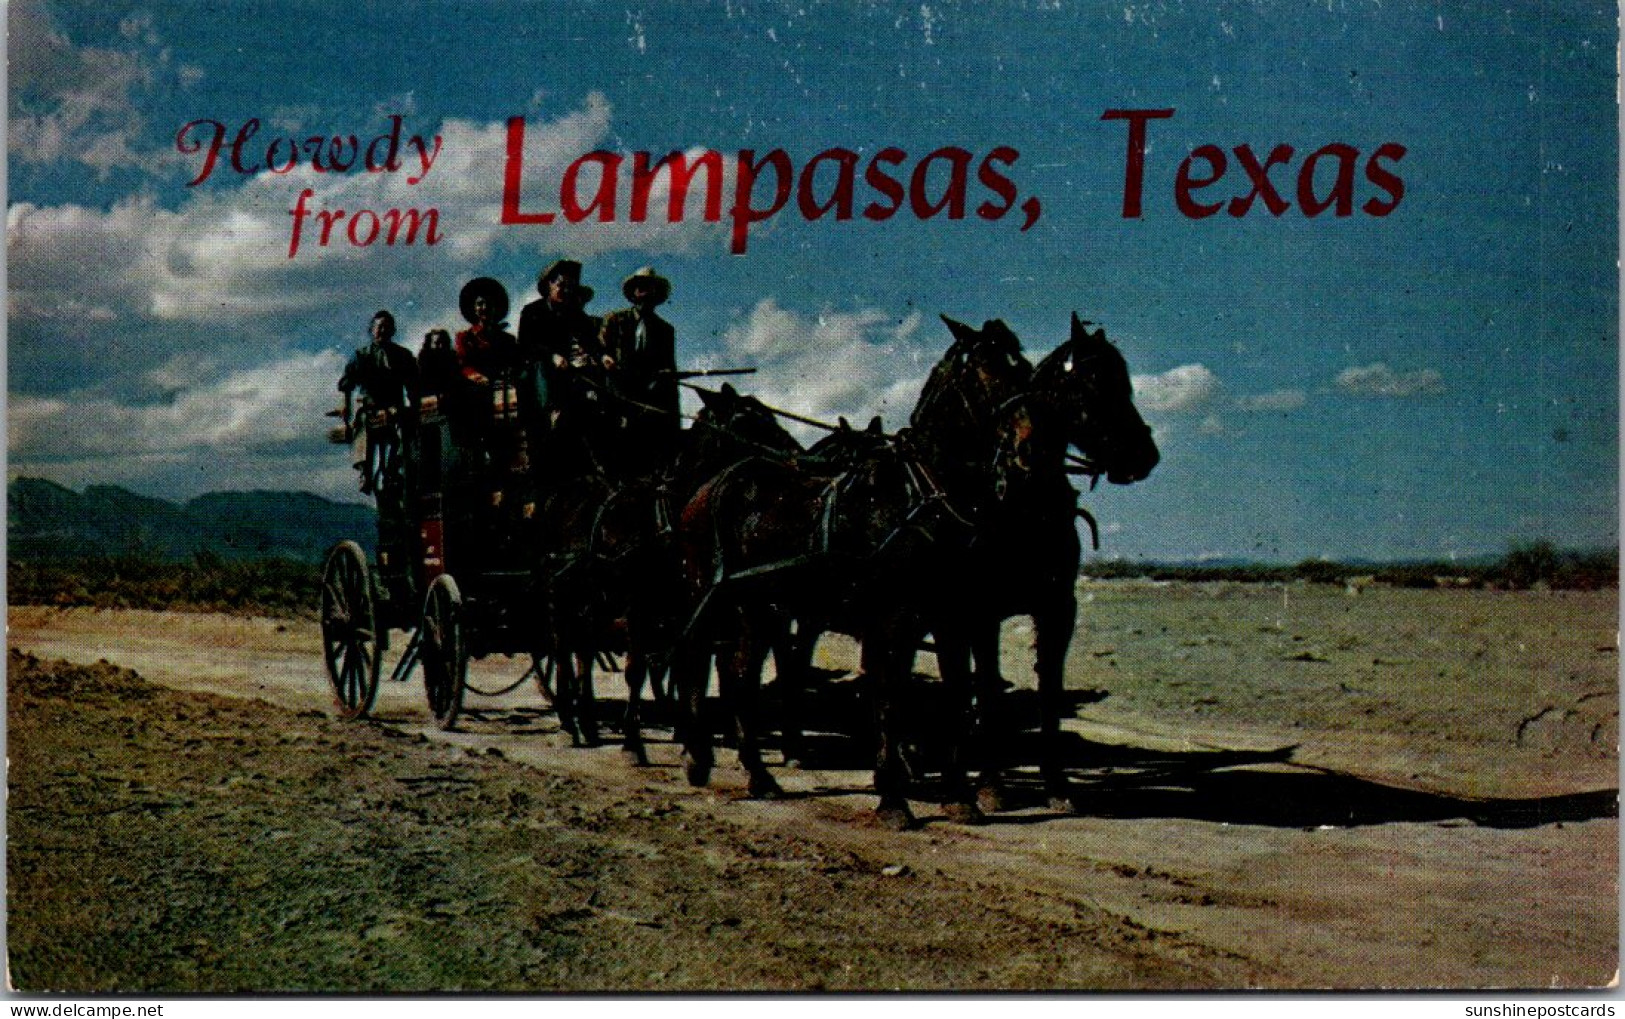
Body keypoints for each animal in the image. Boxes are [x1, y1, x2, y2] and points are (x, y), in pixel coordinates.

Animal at [903, 315, 1157, 825]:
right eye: (1091, 383)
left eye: (1125, 381)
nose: (1144, 456)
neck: (1022, 506)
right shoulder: (976, 612)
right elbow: (982, 691)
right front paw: (986, 787)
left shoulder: (1056, 605)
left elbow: (1048, 690)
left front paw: (1057, 784)